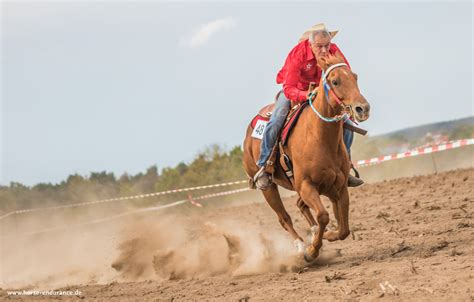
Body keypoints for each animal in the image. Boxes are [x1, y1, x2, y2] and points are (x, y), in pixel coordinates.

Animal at [244, 54, 370, 262]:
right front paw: (312, 251)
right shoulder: (306, 185)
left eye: (355, 77)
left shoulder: (339, 187)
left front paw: (325, 235)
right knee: (284, 217)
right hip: (269, 188)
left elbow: (343, 227)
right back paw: (301, 246)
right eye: (335, 81)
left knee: (301, 206)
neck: (318, 137)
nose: (363, 108)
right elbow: (323, 216)